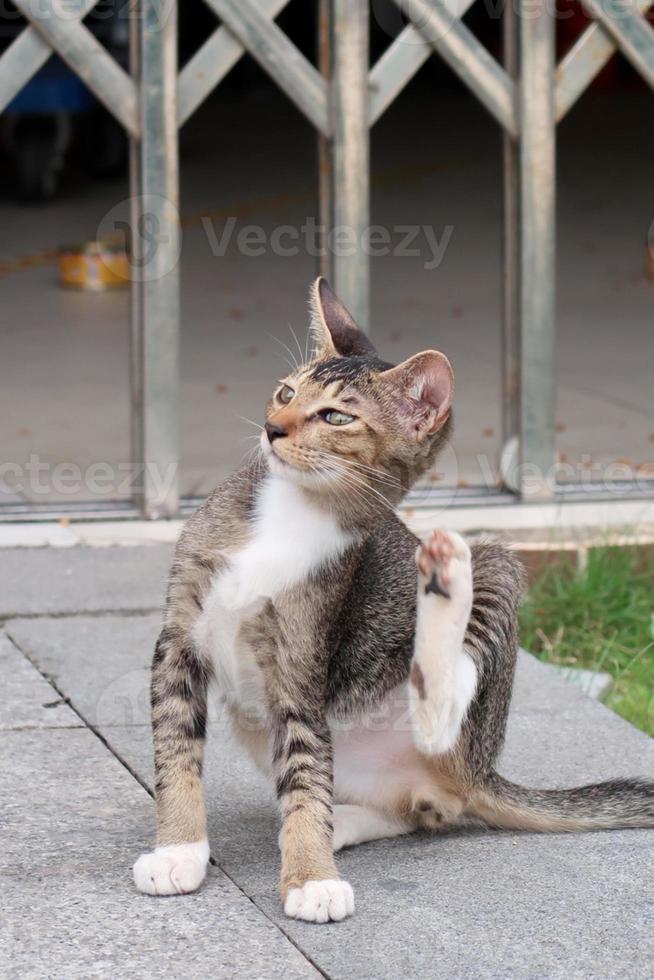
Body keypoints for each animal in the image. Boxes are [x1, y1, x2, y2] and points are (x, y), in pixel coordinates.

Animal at [133, 280, 654, 924]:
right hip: (274, 732)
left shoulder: (302, 666)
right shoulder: (178, 639)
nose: (272, 427)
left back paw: (447, 577)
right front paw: (179, 849)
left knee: (439, 721)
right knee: (417, 809)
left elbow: (305, 772)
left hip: (496, 578)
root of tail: (479, 773)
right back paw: (342, 820)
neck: (290, 513)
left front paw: (310, 878)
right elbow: (178, 750)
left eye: (335, 415)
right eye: (286, 392)